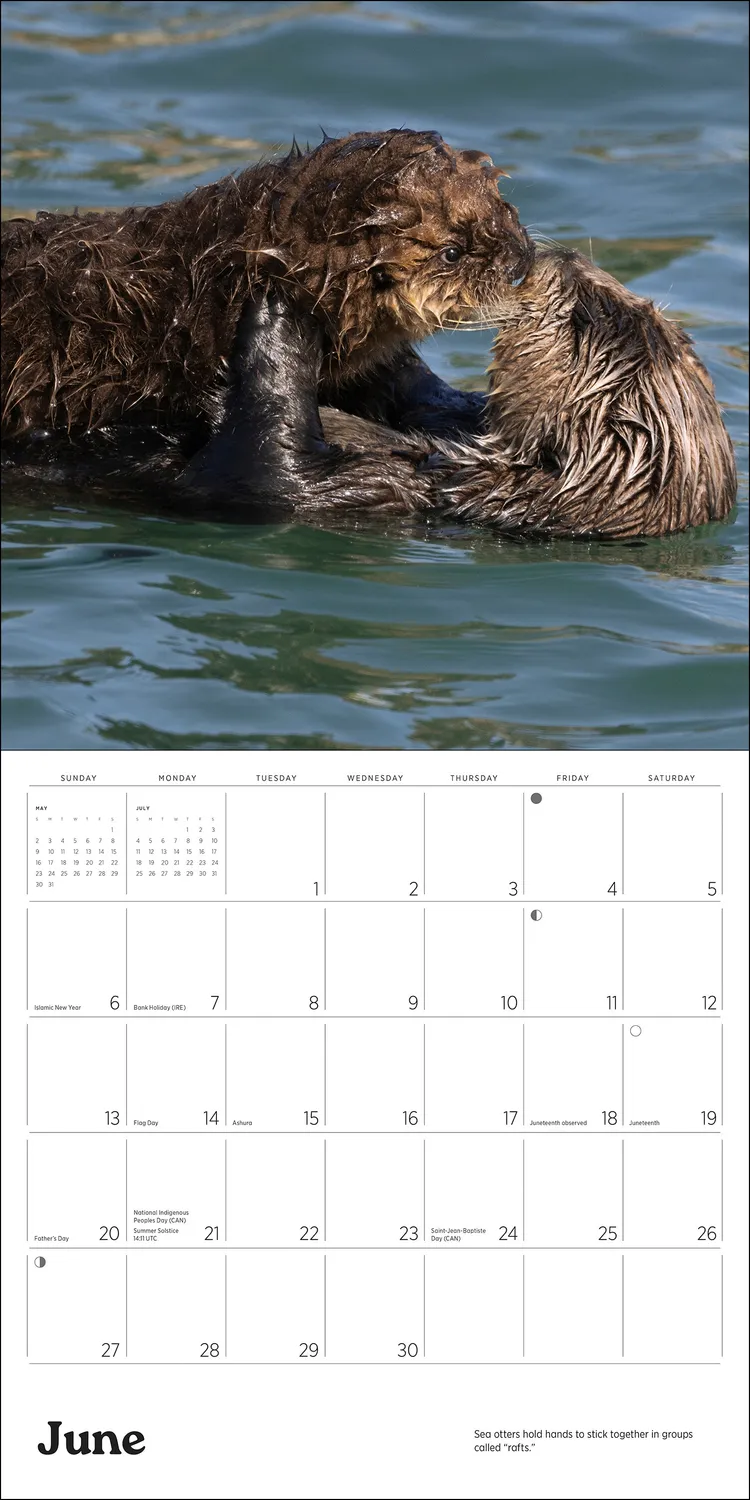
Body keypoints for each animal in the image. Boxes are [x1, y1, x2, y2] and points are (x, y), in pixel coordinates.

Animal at [180, 245, 736, 537]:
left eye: (584, 317)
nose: (559, 253)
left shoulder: (374, 489)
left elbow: (263, 464)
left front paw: (283, 303)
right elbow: (429, 398)